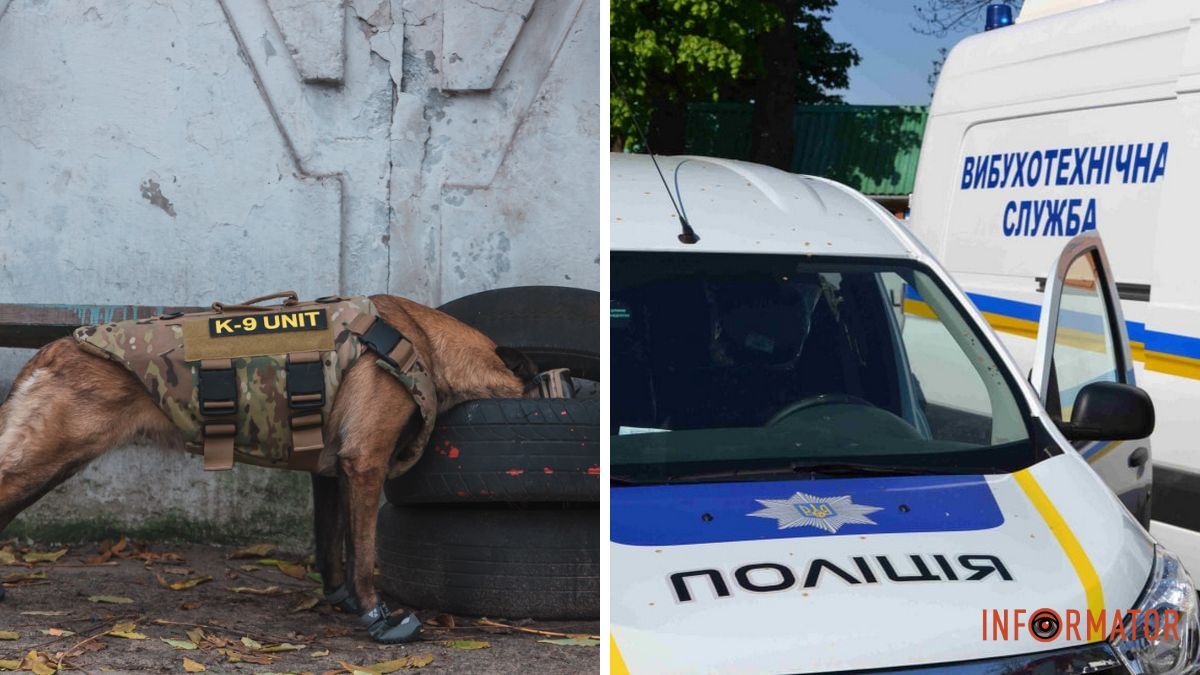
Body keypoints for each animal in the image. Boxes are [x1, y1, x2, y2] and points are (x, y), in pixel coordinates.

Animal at [0, 294, 537, 638]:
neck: (421, 338)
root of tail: (54, 348)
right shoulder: (365, 463)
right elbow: (364, 555)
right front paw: (377, 617)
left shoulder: (330, 474)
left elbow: (334, 548)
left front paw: (341, 600)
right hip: (51, 455)